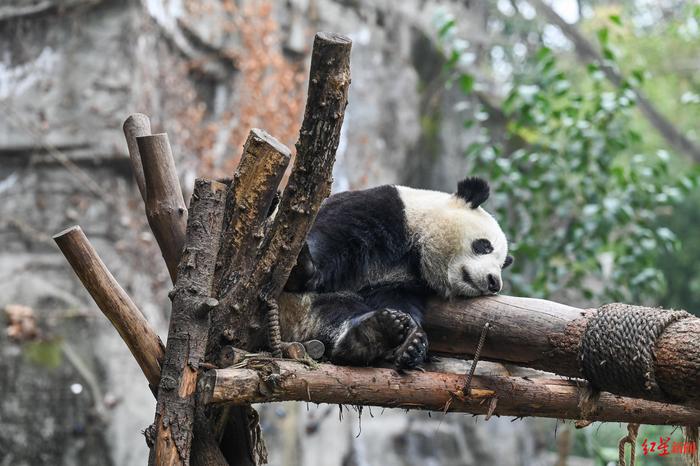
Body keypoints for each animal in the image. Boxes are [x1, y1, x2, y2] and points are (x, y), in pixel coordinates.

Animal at [282, 177, 512, 370]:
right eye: (485, 245)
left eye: (502, 265)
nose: (494, 282)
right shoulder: (382, 208)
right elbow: (331, 233)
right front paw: (302, 266)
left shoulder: (405, 280)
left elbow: (396, 300)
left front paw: (412, 343)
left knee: (337, 310)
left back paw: (372, 335)